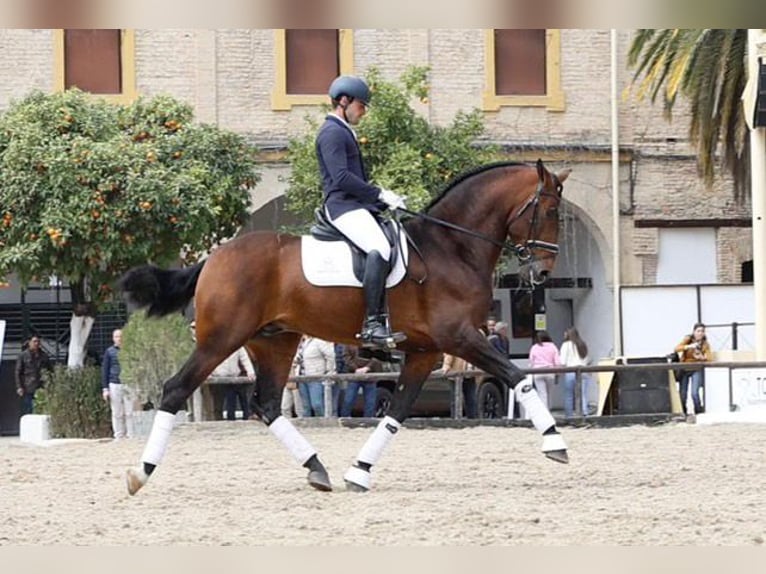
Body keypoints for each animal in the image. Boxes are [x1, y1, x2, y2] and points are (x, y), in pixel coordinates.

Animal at [121, 159, 568, 496]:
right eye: (549, 212)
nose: (543, 272)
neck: (451, 248)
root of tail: (213, 258)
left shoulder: (425, 351)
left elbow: (398, 411)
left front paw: (359, 471)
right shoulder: (459, 337)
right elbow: (517, 377)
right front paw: (555, 442)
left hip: (274, 342)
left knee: (266, 405)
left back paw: (317, 468)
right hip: (221, 339)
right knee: (176, 389)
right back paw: (140, 472)